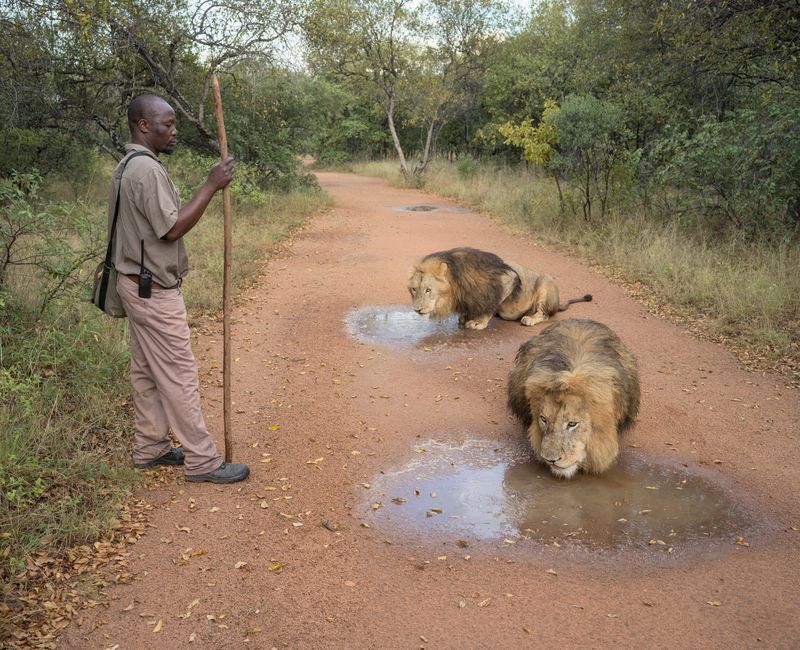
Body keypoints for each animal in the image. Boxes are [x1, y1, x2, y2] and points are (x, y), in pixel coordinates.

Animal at [407, 247, 591, 329]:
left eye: (428, 289)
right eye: (414, 289)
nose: (417, 310)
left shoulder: (509, 279)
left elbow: (489, 305)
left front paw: (478, 322)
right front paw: (465, 317)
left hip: (545, 281)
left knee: (544, 314)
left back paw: (530, 318)